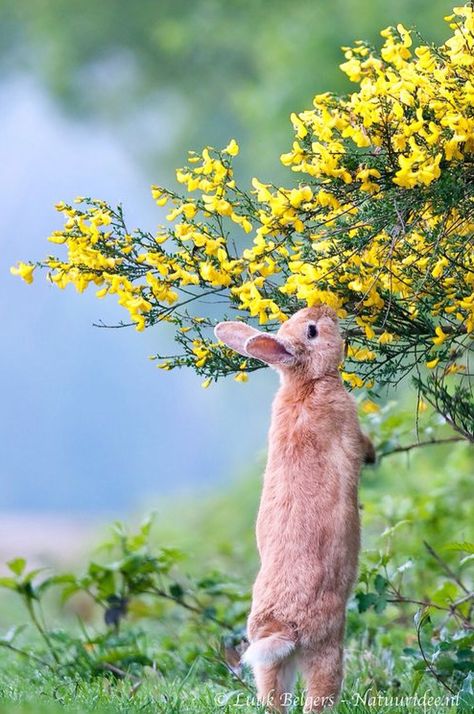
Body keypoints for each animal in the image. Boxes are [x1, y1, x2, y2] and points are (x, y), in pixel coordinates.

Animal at [215, 304, 374, 708]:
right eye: (313, 331)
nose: (325, 308)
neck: (306, 383)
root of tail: (283, 629)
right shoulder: (349, 424)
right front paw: (373, 454)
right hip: (326, 648)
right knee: (319, 694)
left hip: (270, 666)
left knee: (273, 696)